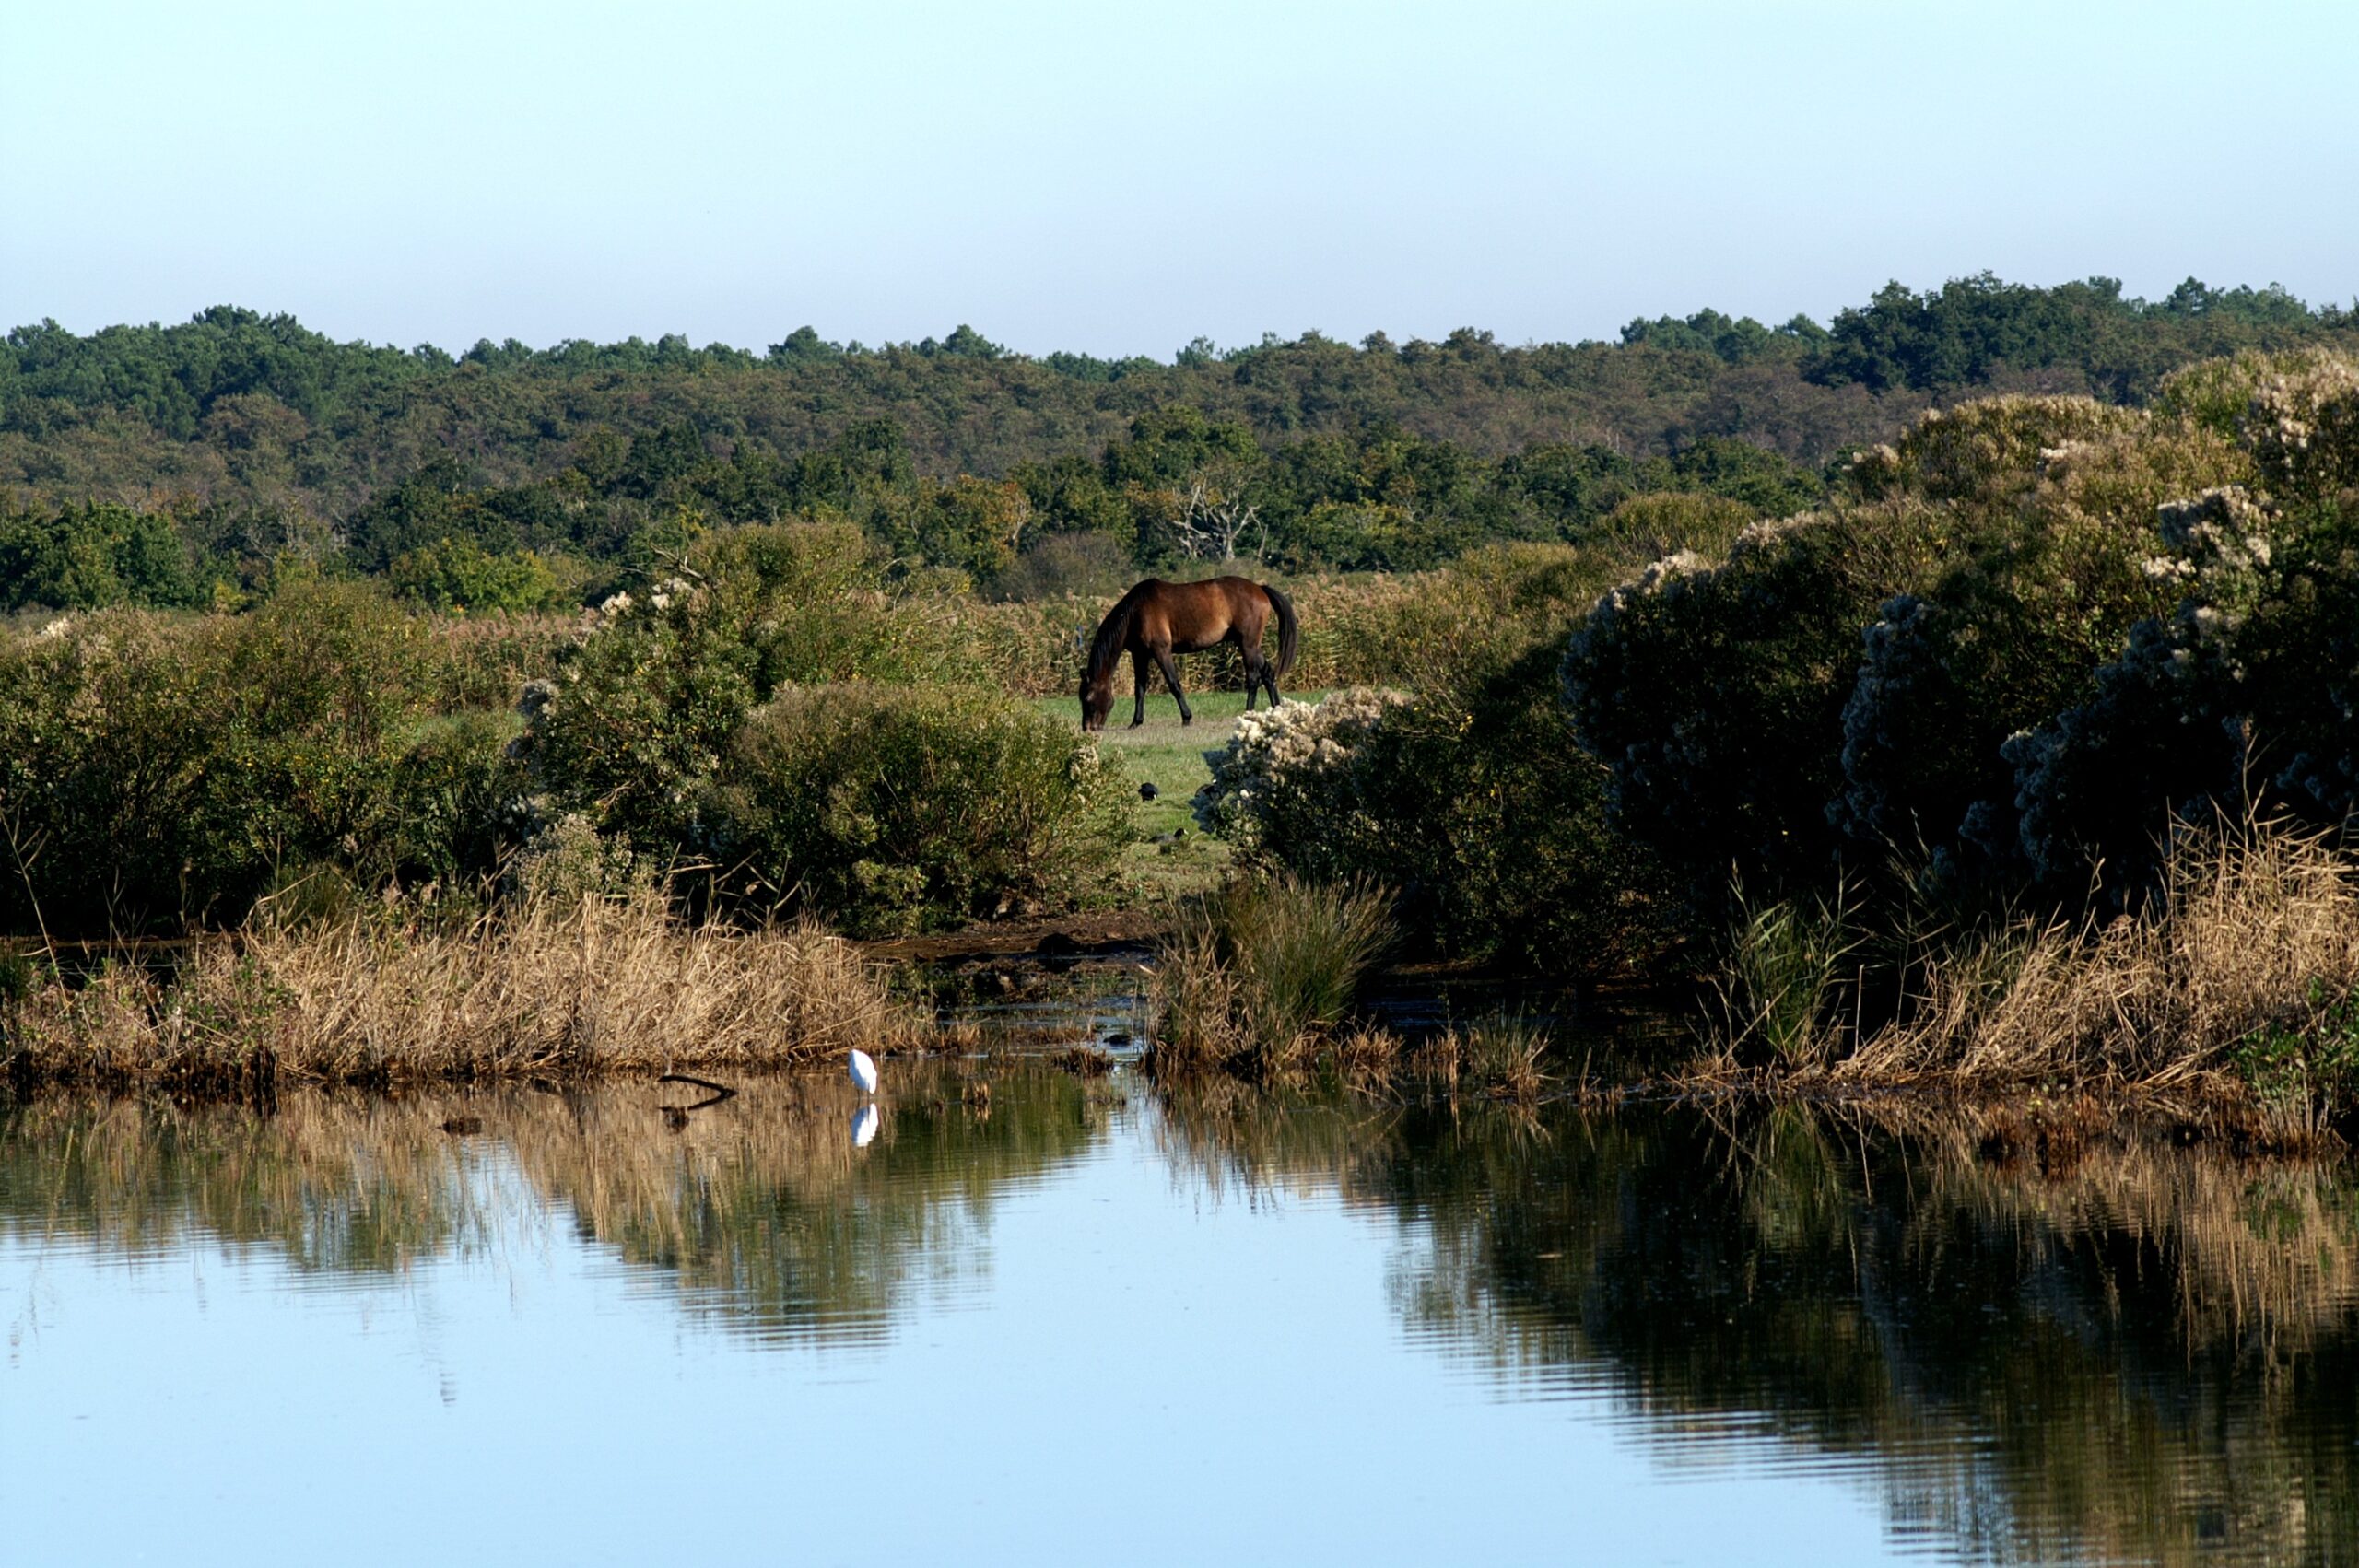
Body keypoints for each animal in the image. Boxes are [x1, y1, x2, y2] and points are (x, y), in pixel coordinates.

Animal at [1080, 575, 1302, 735]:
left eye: (1088, 698)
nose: (1087, 728)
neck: (1135, 612)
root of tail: (1259, 588)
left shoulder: (1161, 651)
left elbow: (1174, 684)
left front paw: (1186, 717)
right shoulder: (1140, 655)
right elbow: (1139, 689)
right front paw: (1136, 722)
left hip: (1248, 645)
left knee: (1254, 678)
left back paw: (1248, 713)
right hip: (1250, 645)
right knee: (1268, 674)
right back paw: (1277, 710)